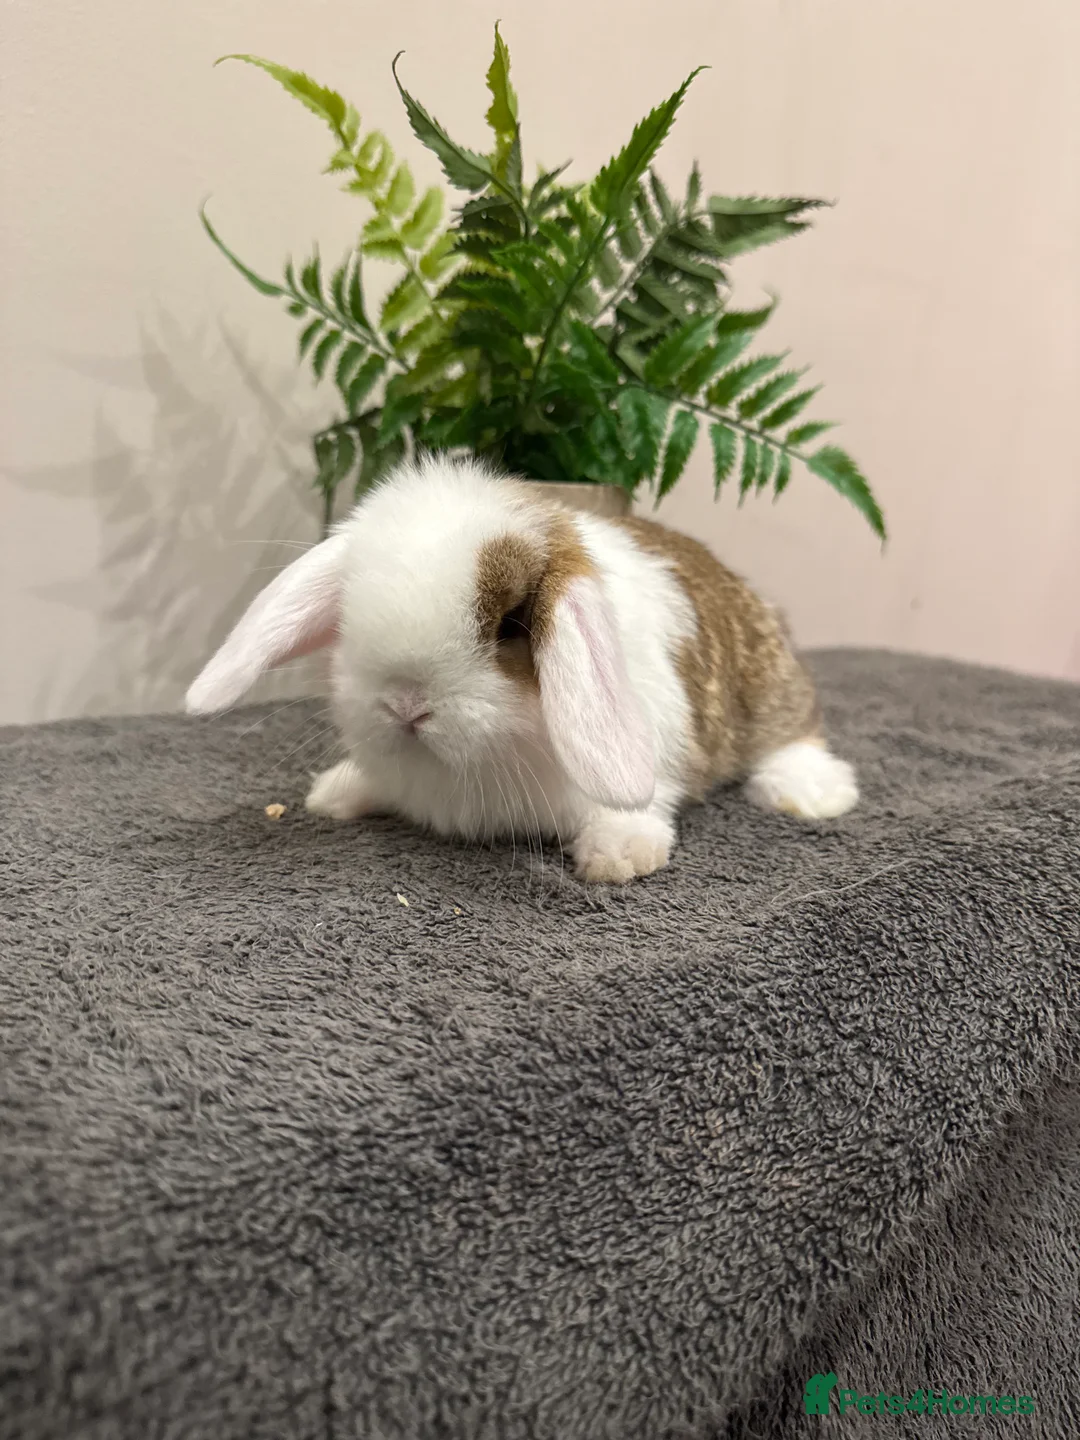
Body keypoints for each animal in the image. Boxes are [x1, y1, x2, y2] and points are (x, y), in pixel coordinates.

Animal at [186, 455, 857, 882]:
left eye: (510, 624)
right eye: (349, 612)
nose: (406, 704)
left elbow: (636, 810)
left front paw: (617, 857)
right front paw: (336, 794)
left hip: (770, 689)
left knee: (793, 736)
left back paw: (812, 795)